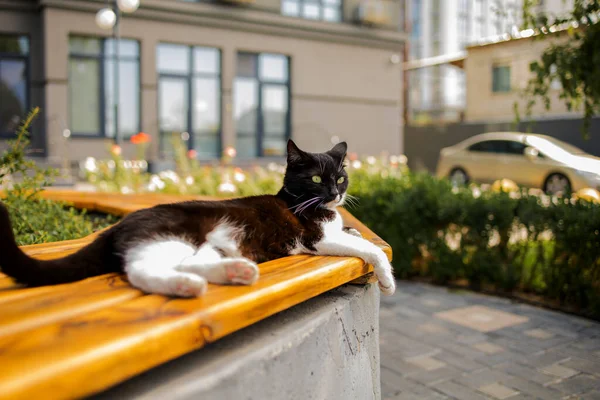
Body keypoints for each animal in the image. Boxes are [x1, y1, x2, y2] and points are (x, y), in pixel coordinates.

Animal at [0, 141, 396, 296]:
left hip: (210, 245)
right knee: (141, 271)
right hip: (172, 236)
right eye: (316, 180)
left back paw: (235, 272)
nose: (335, 194)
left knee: (192, 263)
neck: (309, 204)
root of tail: (118, 226)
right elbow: (370, 249)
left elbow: (355, 235)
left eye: (340, 178)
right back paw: (184, 286)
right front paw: (388, 279)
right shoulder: (318, 237)